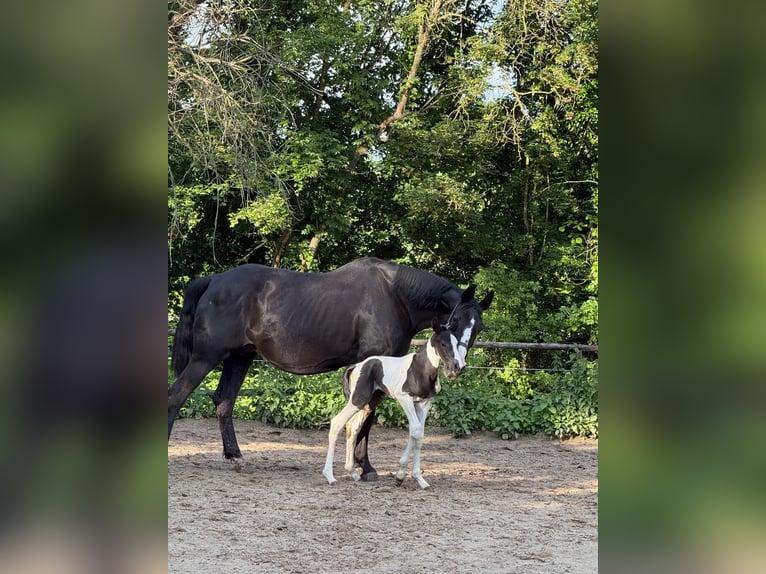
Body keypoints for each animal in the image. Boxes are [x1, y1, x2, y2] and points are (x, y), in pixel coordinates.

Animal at [322, 319, 462, 489]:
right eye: (443, 343)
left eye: (457, 342)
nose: (455, 368)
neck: (420, 370)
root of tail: (356, 366)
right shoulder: (405, 398)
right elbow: (415, 430)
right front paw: (400, 476)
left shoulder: (424, 403)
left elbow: (418, 434)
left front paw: (419, 479)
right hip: (358, 399)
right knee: (337, 422)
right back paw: (329, 476)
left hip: (370, 402)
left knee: (353, 426)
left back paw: (353, 472)